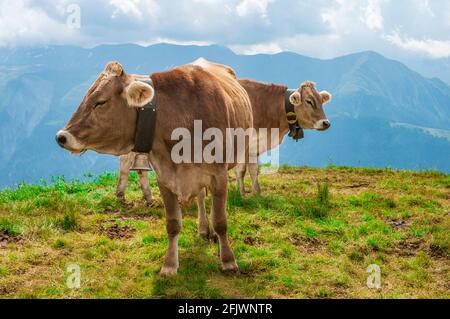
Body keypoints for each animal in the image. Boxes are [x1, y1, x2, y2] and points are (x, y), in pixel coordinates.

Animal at [56, 60, 253, 278]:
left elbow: (220, 221)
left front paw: (228, 261)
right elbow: (173, 224)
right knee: (201, 197)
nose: (61, 137)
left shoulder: (219, 175)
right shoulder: (164, 177)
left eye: (100, 102)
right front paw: (169, 265)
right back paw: (203, 229)